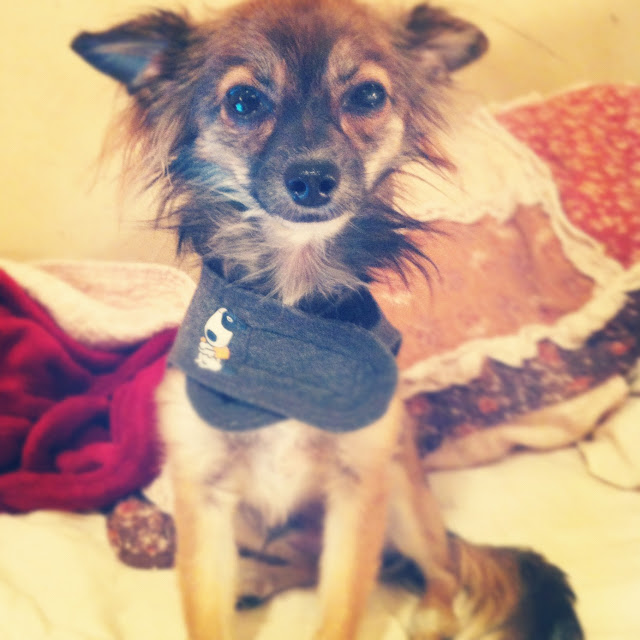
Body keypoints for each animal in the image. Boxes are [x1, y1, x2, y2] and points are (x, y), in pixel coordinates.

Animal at [72, 1, 584, 638]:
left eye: (368, 95)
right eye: (244, 101)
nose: (313, 179)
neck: (291, 319)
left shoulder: (358, 492)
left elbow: (342, 606)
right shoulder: (203, 494)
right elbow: (209, 610)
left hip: (401, 495)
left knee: (439, 567)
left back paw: (431, 616)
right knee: (304, 562)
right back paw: (256, 580)